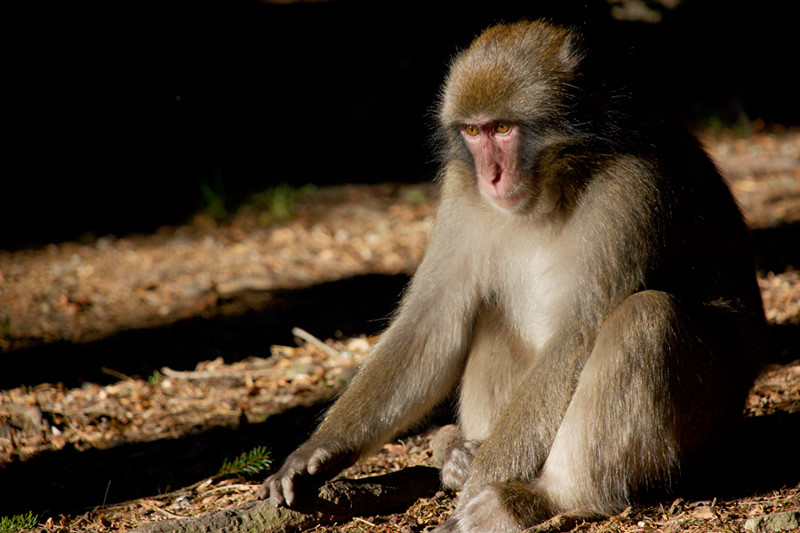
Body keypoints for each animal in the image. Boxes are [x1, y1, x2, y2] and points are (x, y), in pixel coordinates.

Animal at [257, 20, 766, 532]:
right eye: (473, 132)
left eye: (503, 129)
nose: (491, 175)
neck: (559, 183)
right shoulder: (460, 188)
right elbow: (433, 320)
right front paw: (318, 451)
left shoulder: (632, 188)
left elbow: (577, 337)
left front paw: (474, 499)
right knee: (491, 316)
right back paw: (460, 452)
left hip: (708, 425)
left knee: (645, 317)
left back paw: (541, 498)